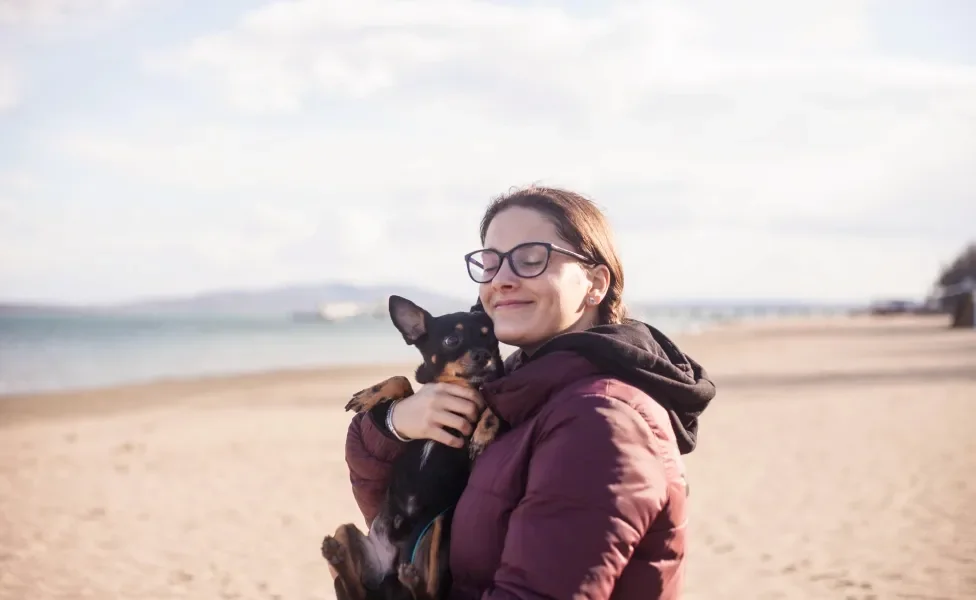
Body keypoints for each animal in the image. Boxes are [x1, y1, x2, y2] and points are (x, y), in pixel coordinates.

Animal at [322, 296, 504, 600]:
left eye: (490, 338)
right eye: (452, 340)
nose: (483, 355)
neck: (462, 386)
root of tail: (392, 574)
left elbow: (491, 400)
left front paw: (483, 432)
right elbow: (404, 381)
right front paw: (371, 394)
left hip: (438, 528)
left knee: (429, 590)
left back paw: (411, 579)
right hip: (346, 532)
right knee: (355, 589)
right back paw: (336, 555)